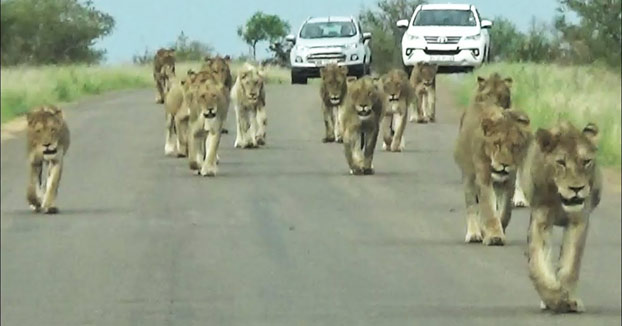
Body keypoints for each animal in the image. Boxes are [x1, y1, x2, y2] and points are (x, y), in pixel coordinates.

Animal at [454, 102, 532, 244]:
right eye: (496, 144)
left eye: (514, 146)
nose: (504, 165)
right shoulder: (483, 178)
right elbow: (489, 210)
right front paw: (495, 236)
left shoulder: (509, 182)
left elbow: (505, 212)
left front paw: (498, 229)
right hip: (468, 176)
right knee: (471, 206)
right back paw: (474, 234)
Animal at [520, 120, 604, 314]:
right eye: (561, 163)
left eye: (586, 162)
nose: (576, 188)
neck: (559, 199)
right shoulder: (541, 219)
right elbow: (539, 263)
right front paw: (554, 298)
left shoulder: (578, 220)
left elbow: (571, 263)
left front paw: (568, 299)